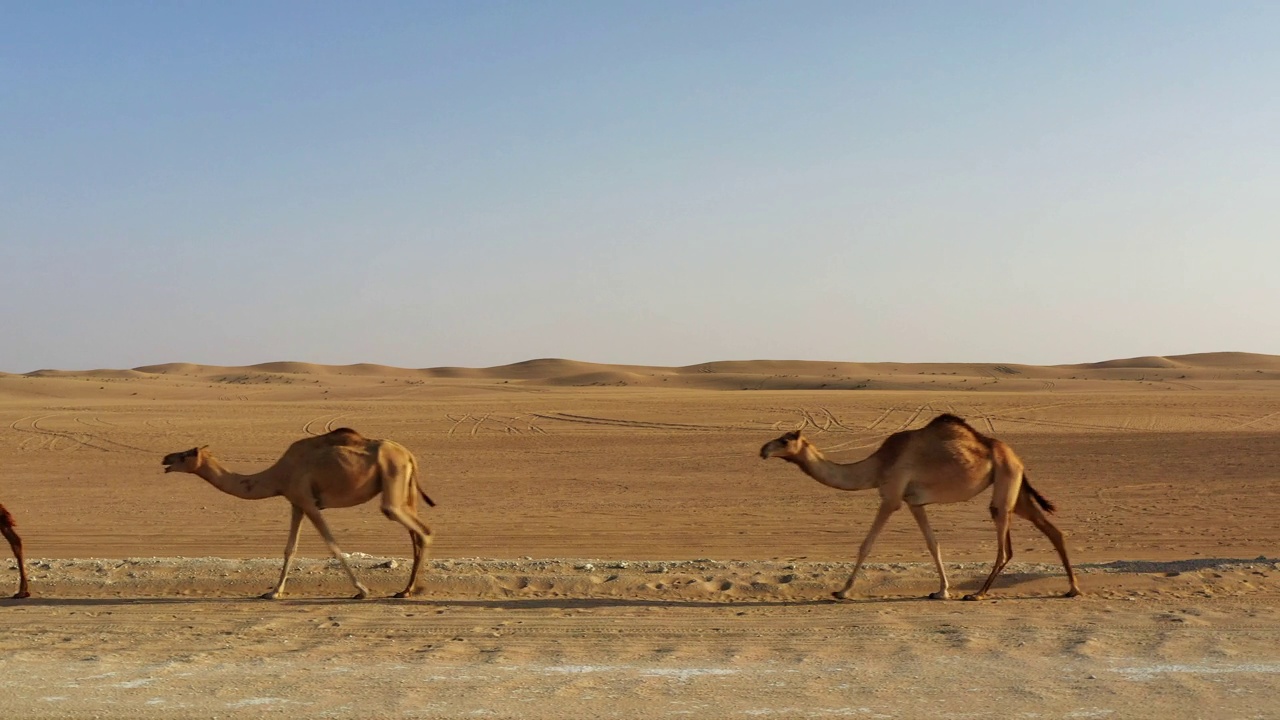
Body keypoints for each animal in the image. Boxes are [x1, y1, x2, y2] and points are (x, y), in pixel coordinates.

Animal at [162, 427, 435, 597]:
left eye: (186, 454)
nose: (166, 458)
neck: (278, 475)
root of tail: (409, 455)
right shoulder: (296, 503)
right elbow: (289, 549)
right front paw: (273, 592)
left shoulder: (307, 500)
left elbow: (333, 546)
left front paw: (362, 590)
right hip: (404, 490)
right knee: (416, 533)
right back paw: (406, 590)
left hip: (393, 479)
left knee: (422, 531)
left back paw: (415, 589)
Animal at [757, 412, 1080, 597]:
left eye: (785, 440)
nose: (763, 449)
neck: (877, 465)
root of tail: (1015, 457)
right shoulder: (915, 502)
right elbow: (933, 544)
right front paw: (942, 591)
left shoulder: (891, 497)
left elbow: (866, 545)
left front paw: (843, 591)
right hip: (1015, 489)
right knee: (1053, 531)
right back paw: (1073, 589)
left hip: (1005, 485)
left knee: (1005, 547)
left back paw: (978, 593)